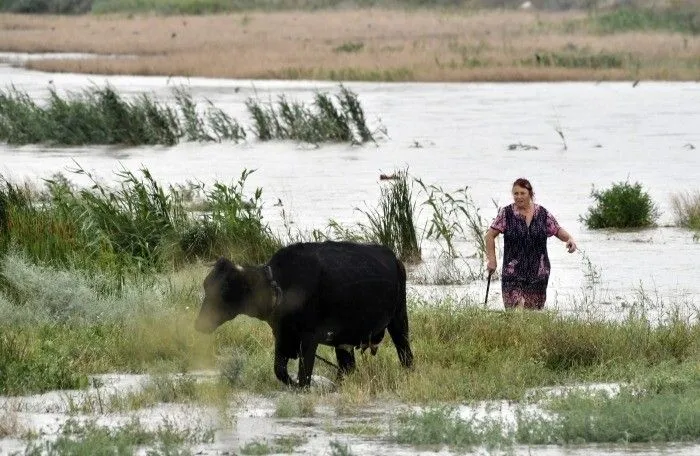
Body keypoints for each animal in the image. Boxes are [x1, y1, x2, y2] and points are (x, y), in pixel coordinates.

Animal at [194, 240, 412, 386]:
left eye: (225, 289)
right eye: (206, 285)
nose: (200, 324)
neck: (282, 286)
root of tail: (394, 258)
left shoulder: (309, 338)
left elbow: (304, 375)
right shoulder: (282, 336)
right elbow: (280, 371)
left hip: (399, 321)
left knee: (406, 355)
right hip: (344, 341)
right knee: (347, 367)